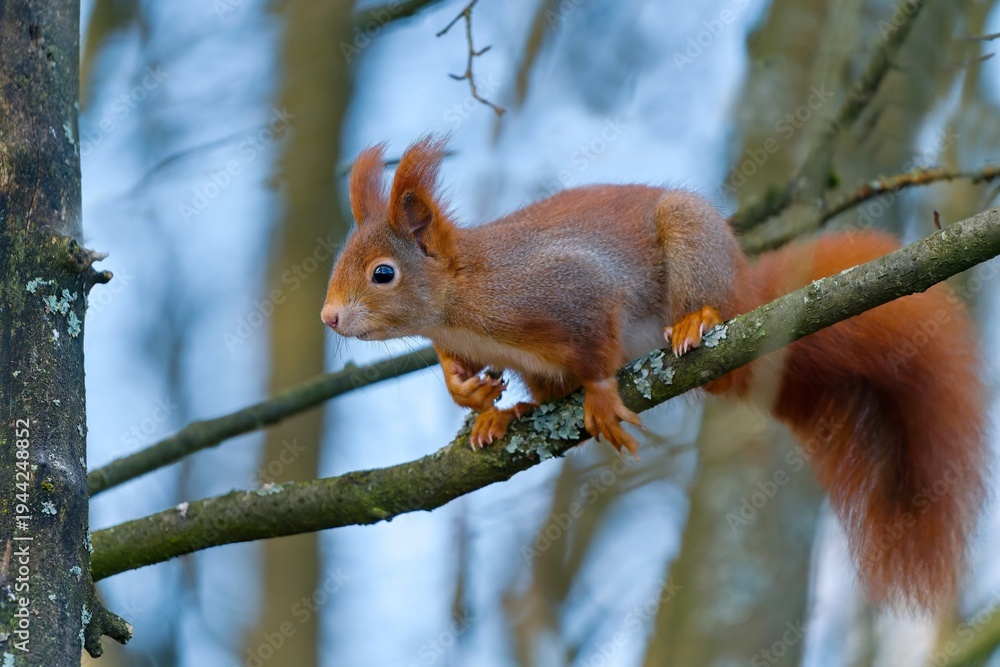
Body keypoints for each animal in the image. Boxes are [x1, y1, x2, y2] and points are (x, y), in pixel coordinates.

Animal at [322, 136, 986, 610]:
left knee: (707, 310)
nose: (329, 316)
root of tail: (747, 291)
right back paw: (512, 414)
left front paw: (597, 395)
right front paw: (470, 393)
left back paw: (698, 321)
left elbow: (597, 337)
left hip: (693, 247)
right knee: (546, 392)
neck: (461, 300)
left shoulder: (565, 289)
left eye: (383, 274)